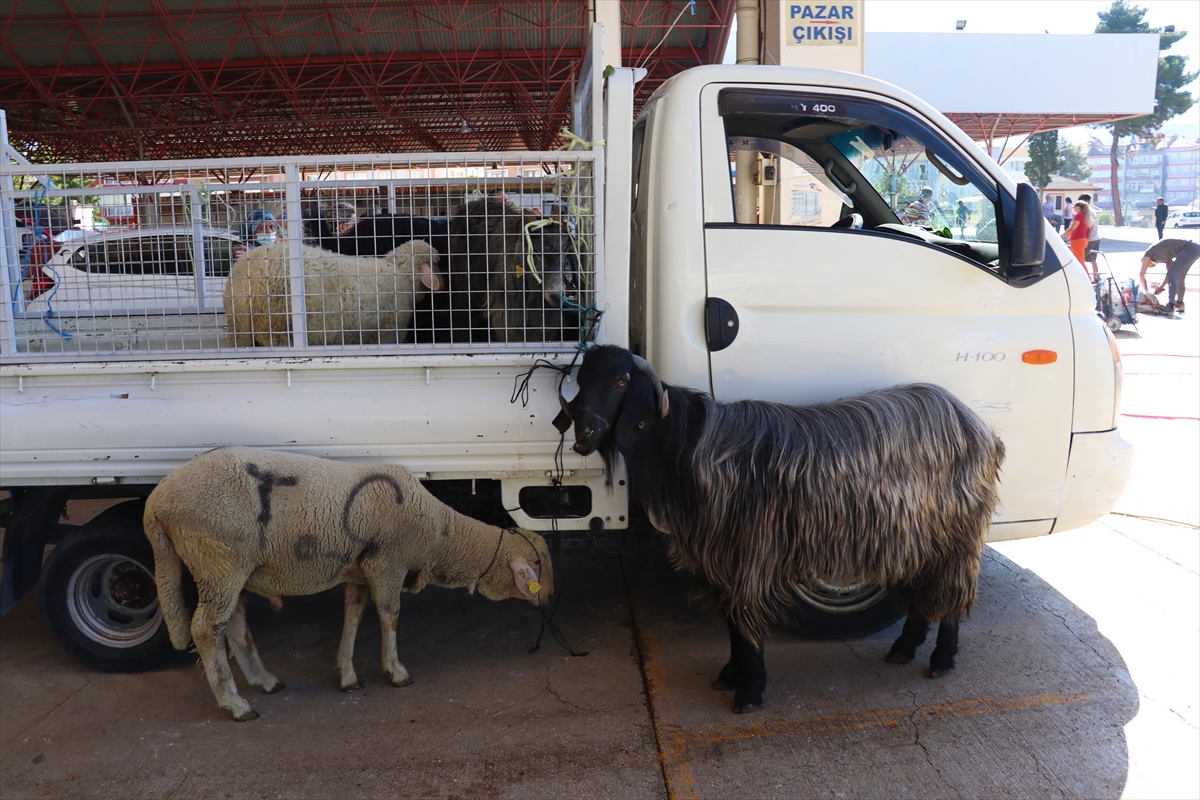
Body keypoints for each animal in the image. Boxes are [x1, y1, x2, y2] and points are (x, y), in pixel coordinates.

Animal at [145, 448, 552, 724]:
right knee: (206, 629)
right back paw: (236, 704)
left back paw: (264, 681)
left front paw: (347, 674)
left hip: (231, 568)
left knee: (234, 625)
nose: (547, 597)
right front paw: (396, 671)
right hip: (218, 559)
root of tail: (156, 503)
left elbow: (353, 617)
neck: (440, 534)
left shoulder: (359, 570)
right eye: (536, 563)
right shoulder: (387, 561)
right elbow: (390, 615)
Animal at [561, 345, 1003, 714]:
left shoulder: (748, 557)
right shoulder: (721, 561)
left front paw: (750, 690)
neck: (689, 448)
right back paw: (904, 647)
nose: (582, 436)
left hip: (956, 534)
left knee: (951, 591)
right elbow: (732, 624)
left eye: (621, 381)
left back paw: (942, 658)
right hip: (914, 537)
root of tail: (976, 423)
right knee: (923, 591)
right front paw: (731, 674)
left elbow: (744, 625)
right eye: (582, 379)